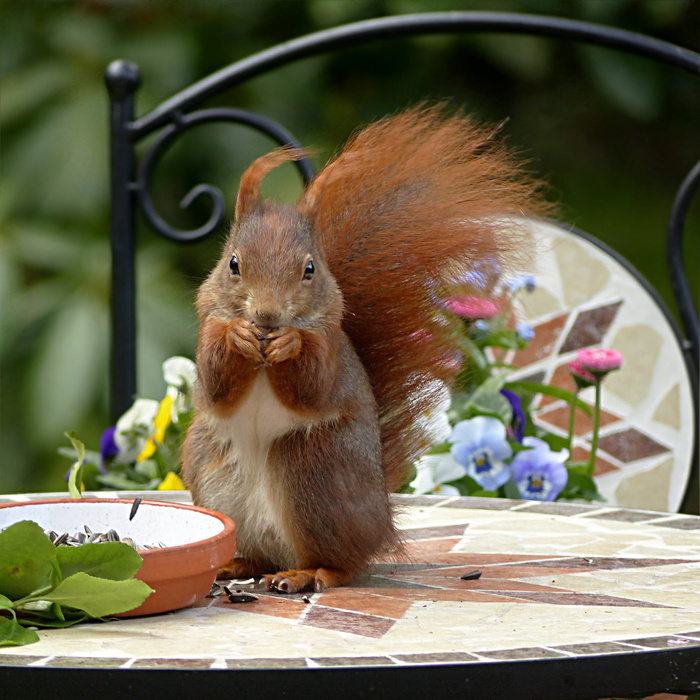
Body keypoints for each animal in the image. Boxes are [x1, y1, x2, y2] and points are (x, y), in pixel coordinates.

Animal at [180, 105, 540, 592]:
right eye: (233, 264)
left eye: (310, 269)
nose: (268, 316)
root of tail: (381, 522)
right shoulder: (207, 324)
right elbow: (217, 385)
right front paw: (237, 336)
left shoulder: (332, 344)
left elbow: (313, 386)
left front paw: (291, 343)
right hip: (213, 471)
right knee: (257, 555)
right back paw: (234, 564)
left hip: (314, 471)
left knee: (342, 564)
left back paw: (308, 573)